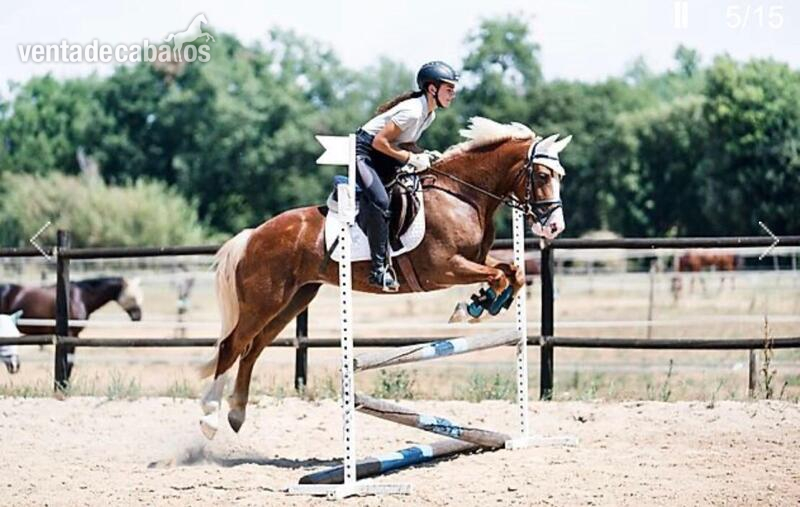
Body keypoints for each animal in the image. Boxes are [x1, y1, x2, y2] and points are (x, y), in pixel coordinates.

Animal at [0, 276, 144, 381]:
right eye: (132, 297)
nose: (138, 316)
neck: (80, 297)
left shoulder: (74, 336)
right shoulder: (71, 335)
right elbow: (68, 362)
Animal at [196, 117, 572, 439]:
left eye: (560, 176)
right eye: (541, 176)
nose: (555, 227)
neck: (462, 195)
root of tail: (254, 235)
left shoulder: (474, 260)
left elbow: (512, 273)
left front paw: (483, 303)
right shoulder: (444, 268)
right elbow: (497, 276)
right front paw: (473, 308)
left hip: (294, 299)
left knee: (253, 348)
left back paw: (236, 415)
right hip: (265, 300)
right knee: (233, 346)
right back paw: (210, 419)